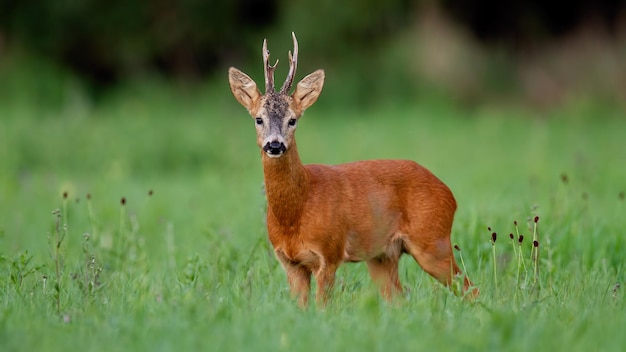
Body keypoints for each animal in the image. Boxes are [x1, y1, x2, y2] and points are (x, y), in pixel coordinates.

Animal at [229, 33, 472, 308]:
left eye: (293, 120)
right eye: (258, 119)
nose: (274, 145)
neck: (297, 212)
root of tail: (449, 194)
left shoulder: (329, 253)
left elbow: (323, 307)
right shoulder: (289, 262)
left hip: (432, 240)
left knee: (469, 287)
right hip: (382, 255)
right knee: (398, 298)